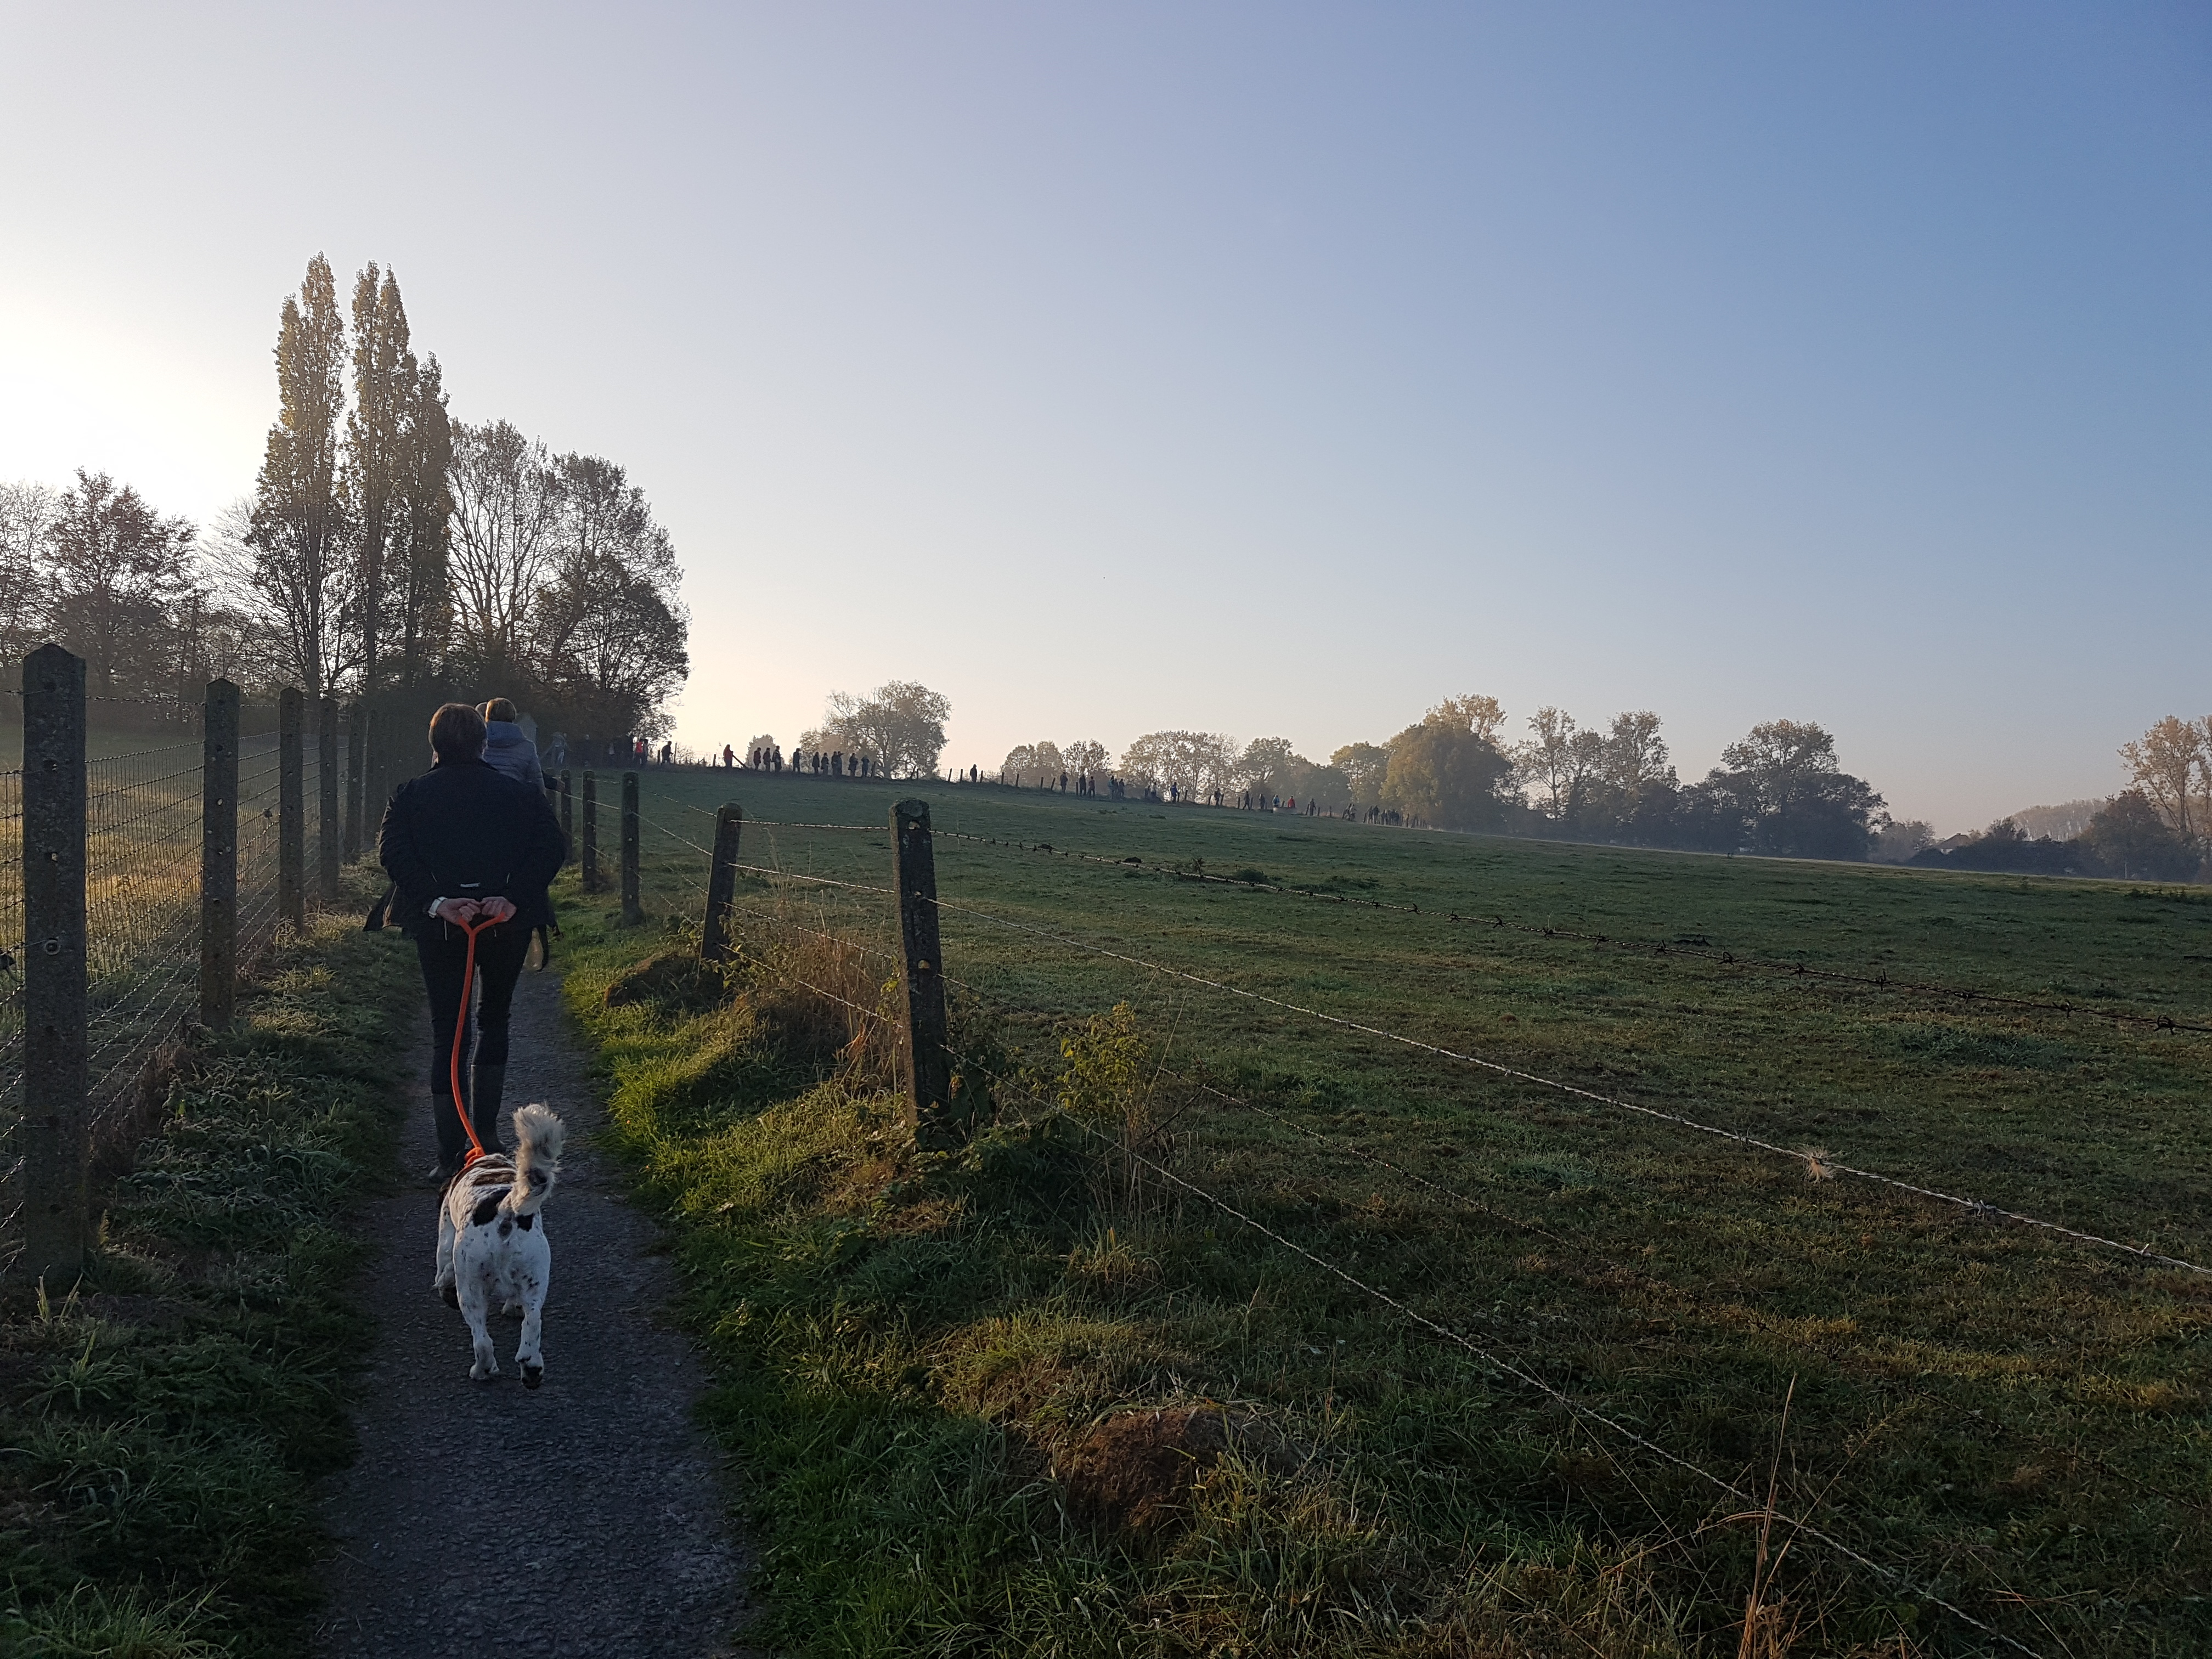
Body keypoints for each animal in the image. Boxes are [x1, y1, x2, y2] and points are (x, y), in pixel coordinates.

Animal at [431, 1106, 566, 1389]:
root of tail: (506, 1209)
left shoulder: (447, 1235)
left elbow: (443, 1270)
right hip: (535, 1276)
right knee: (532, 1324)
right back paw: (531, 1370)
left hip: (470, 1289)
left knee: (482, 1340)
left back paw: (482, 1370)